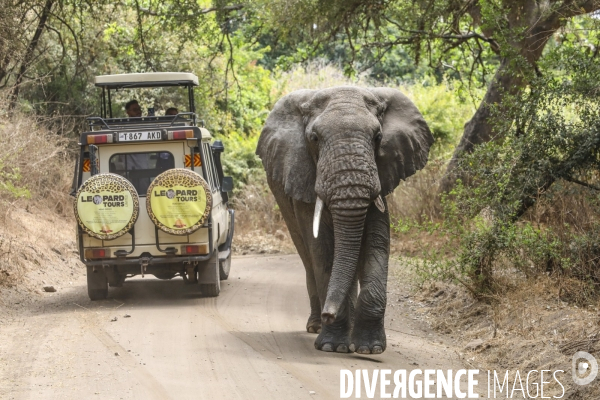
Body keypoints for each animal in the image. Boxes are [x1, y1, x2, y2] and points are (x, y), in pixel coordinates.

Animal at [255, 85, 434, 354]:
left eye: (378, 137)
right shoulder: (304, 178)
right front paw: (333, 346)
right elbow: (323, 250)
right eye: (314, 139)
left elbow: (377, 244)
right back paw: (317, 327)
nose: (329, 314)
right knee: (308, 257)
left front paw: (369, 348)